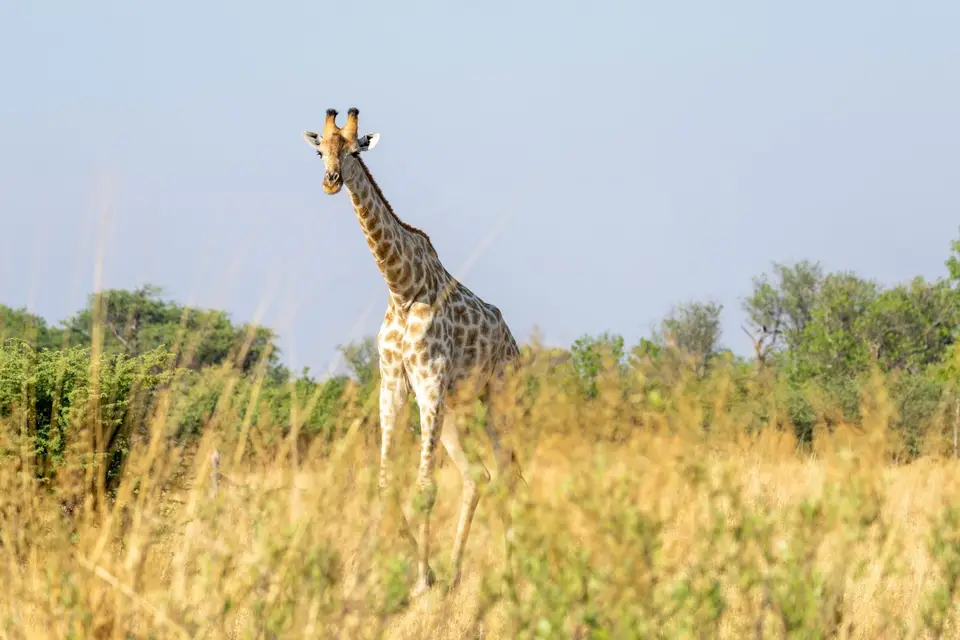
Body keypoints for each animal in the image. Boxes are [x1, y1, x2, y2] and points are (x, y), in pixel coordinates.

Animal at [302, 108, 523, 597]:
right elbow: (386, 483)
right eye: (320, 150)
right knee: (478, 477)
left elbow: (424, 488)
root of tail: (513, 341)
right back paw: (456, 571)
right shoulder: (394, 387)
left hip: (497, 396)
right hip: (455, 410)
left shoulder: (429, 384)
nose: (330, 181)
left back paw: (511, 570)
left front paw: (421, 581)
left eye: (354, 150)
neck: (401, 289)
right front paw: (389, 571)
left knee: (507, 474)